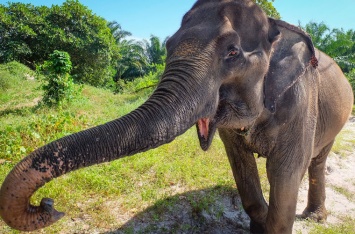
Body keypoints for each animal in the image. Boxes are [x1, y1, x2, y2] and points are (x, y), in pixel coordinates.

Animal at [0, 0, 355, 233]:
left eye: (232, 53)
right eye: (168, 45)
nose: (48, 204)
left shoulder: (300, 106)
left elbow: (284, 175)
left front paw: (273, 219)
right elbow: (242, 168)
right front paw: (260, 219)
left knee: (316, 161)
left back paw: (314, 218)